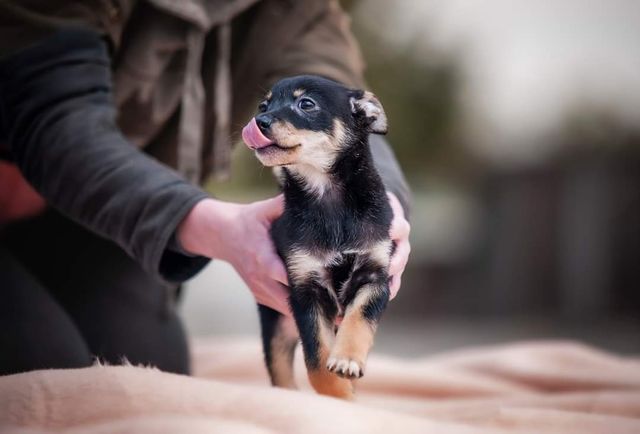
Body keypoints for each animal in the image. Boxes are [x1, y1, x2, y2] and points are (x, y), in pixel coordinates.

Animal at [242, 74, 392, 400]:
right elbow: (317, 363)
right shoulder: (306, 290)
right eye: (263, 105)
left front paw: (347, 361)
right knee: (280, 371)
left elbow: (359, 318)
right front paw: (341, 395)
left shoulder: (375, 277)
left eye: (306, 104)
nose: (258, 121)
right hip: (277, 326)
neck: (327, 198)